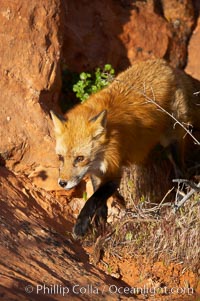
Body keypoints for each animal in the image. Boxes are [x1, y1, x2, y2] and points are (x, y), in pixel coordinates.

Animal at [50, 59, 200, 237]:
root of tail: (166, 65)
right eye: (60, 157)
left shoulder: (114, 171)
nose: (62, 183)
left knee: (180, 172)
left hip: (172, 142)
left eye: (79, 158)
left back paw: (180, 198)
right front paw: (101, 224)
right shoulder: (98, 171)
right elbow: (99, 200)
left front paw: (81, 225)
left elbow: (93, 199)